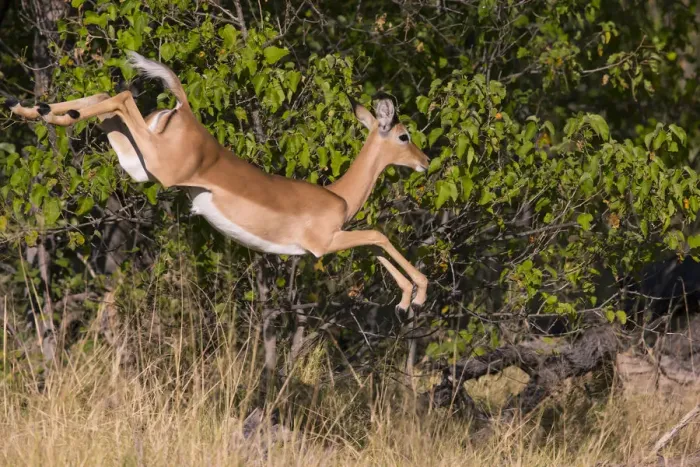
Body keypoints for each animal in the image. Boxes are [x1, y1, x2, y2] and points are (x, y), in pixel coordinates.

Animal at [6, 52, 429, 313]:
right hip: (160, 167)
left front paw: (404, 301)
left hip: (138, 166)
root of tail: (184, 110)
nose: (425, 162)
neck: (337, 197)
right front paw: (417, 296)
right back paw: (37, 109)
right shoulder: (323, 244)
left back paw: (30, 108)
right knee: (122, 94)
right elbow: (379, 236)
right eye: (404, 135)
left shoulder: (337, 240)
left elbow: (375, 248)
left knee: (101, 94)